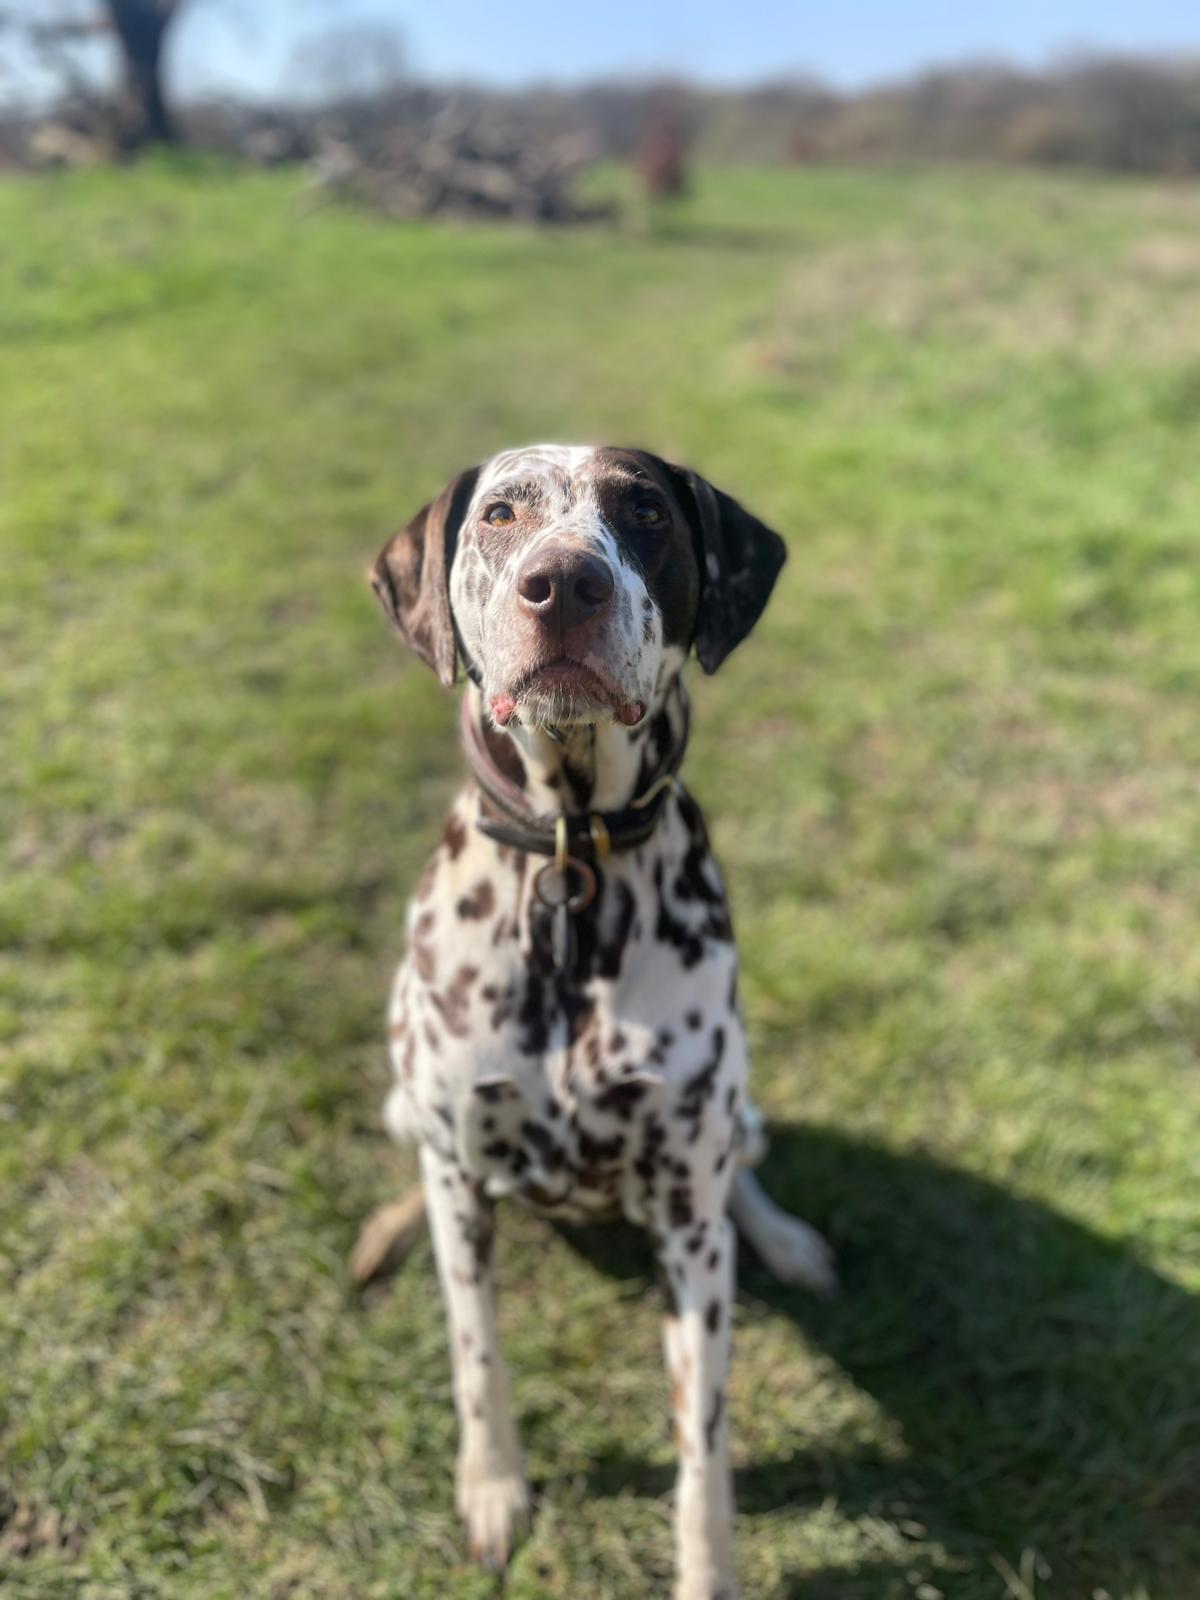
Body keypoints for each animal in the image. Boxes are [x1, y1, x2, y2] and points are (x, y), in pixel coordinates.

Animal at [359, 444, 835, 1600]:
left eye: (647, 511)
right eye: (500, 512)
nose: (564, 584)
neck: (572, 862)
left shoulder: (689, 1224)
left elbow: (703, 1443)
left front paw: (707, 1569)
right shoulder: (461, 1167)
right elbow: (477, 1355)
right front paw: (494, 1488)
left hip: (731, 1123)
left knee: (744, 1171)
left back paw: (785, 1238)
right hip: (408, 1109)